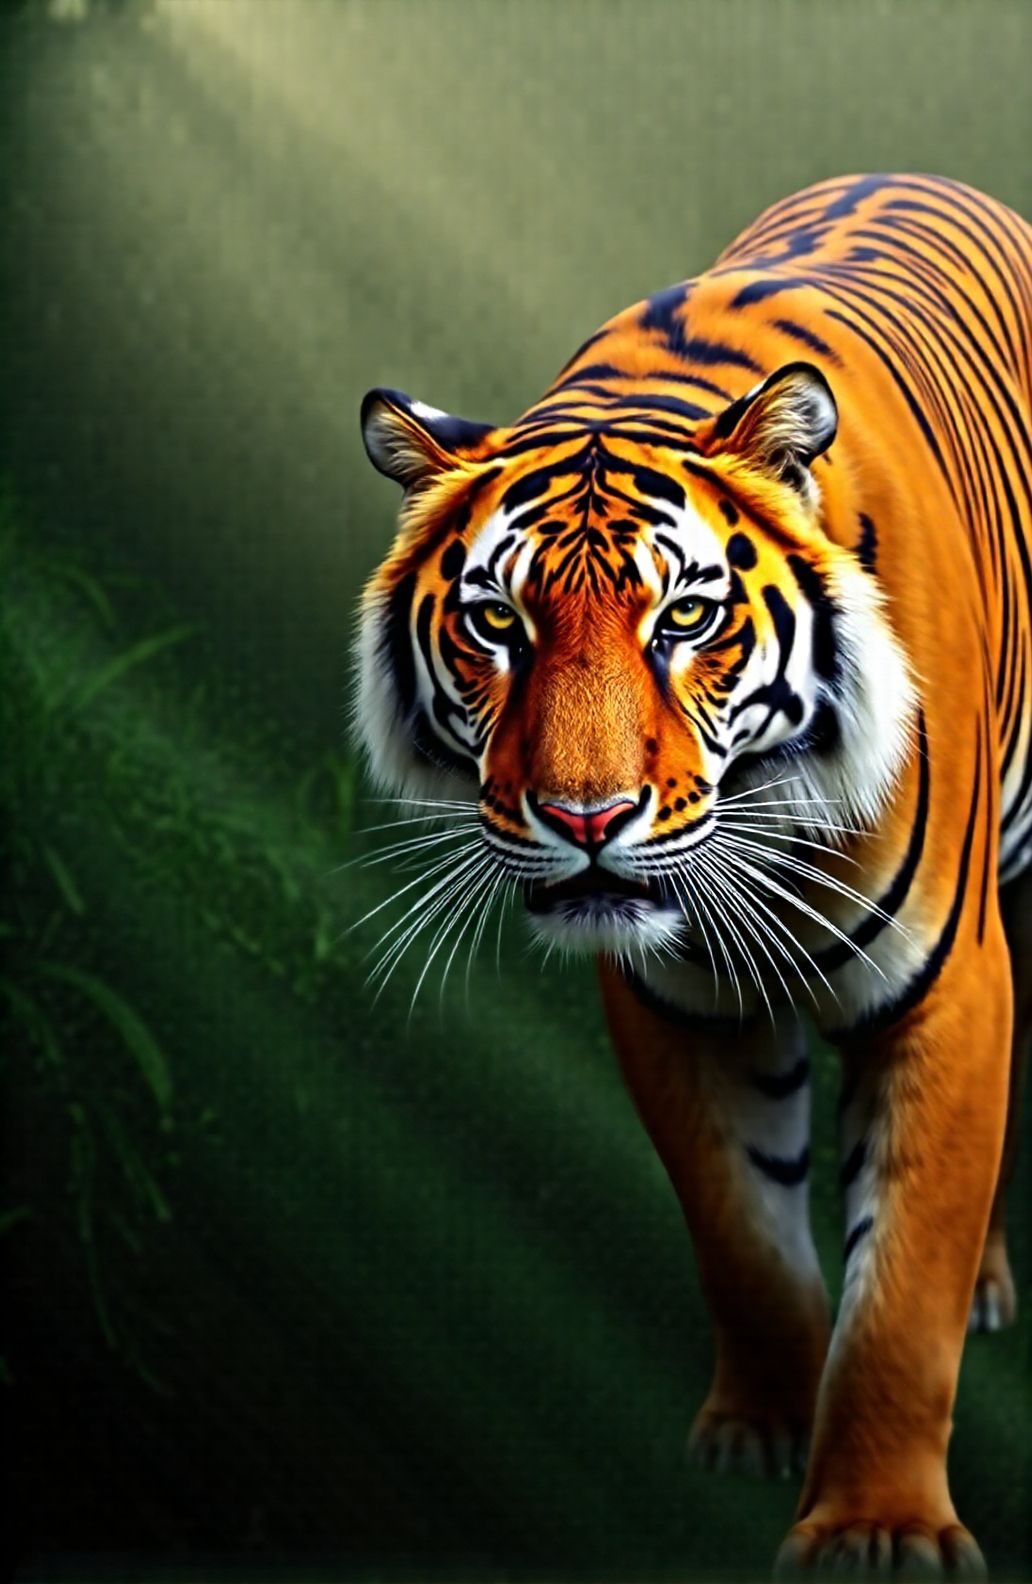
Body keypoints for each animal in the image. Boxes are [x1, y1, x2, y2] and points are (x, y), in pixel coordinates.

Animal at [355, 173, 1032, 1579]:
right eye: (497, 622)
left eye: (686, 618)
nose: (586, 817)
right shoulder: (671, 1002)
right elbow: (744, 1236)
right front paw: (761, 1427)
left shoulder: (951, 991)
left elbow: (906, 1292)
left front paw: (879, 1526)